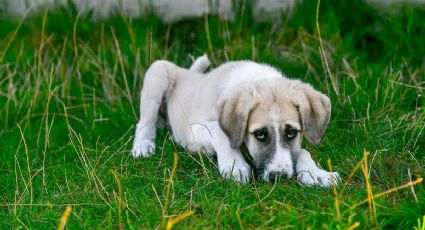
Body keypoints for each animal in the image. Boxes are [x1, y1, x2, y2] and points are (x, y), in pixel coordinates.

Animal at [131, 55, 340, 187]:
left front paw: (317, 173)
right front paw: (234, 165)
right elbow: (220, 132)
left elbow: (302, 151)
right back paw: (143, 145)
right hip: (159, 71)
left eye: (291, 133)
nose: (278, 177)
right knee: (144, 122)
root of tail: (188, 72)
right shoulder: (194, 129)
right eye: (260, 134)